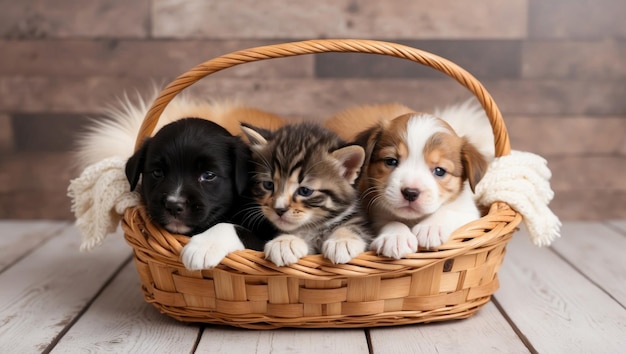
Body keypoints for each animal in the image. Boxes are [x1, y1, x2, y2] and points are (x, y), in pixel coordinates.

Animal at [240, 121, 370, 266]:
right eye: (268, 185)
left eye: (305, 191)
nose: (279, 209)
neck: (314, 228)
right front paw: (285, 241)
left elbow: (354, 228)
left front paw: (342, 240)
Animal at [324, 101, 490, 258]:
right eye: (391, 161)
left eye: (439, 171)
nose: (410, 192)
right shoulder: (373, 212)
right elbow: (389, 221)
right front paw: (396, 237)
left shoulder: (469, 213)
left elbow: (448, 211)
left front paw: (430, 227)